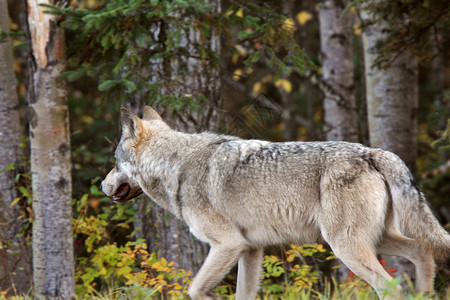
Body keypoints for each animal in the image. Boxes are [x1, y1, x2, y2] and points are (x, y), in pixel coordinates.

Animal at [102, 106, 450, 298]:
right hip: (375, 240)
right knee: (422, 252)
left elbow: (194, 289)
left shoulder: (228, 245)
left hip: (346, 246)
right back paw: (425, 294)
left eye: (115, 163)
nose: (103, 186)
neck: (175, 165)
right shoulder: (249, 249)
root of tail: (373, 152)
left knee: (390, 285)